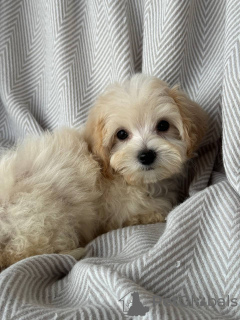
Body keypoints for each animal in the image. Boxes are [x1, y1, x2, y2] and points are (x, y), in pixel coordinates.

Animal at [0, 74, 207, 268]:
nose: (146, 155)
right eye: (121, 134)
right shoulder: (119, 213)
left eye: (163, 125)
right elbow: (154, 211)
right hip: (45, 216)